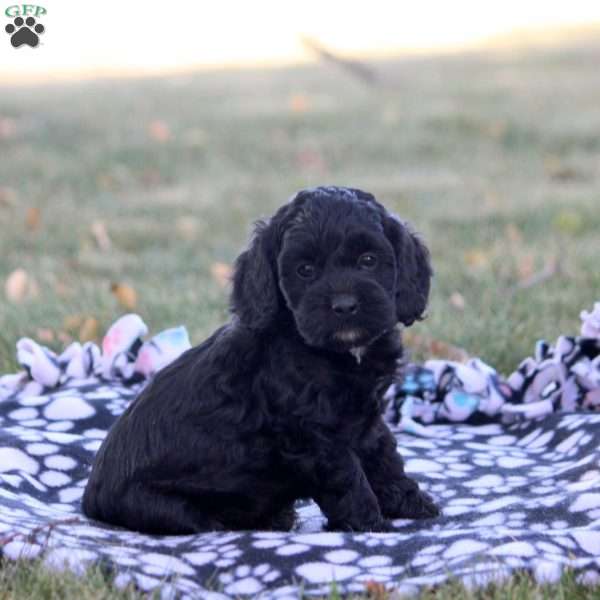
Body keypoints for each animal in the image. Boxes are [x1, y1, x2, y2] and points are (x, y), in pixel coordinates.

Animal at [82, 185, 438, 532]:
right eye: (305, 270)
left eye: (368, 260)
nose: (345, 305)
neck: (334, 354)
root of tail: (90, 503)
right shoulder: (314, 438)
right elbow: (349, 478)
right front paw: (371, 525)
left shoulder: (366, 418)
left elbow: (385, 457)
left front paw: (413, 504)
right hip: (169, 509)